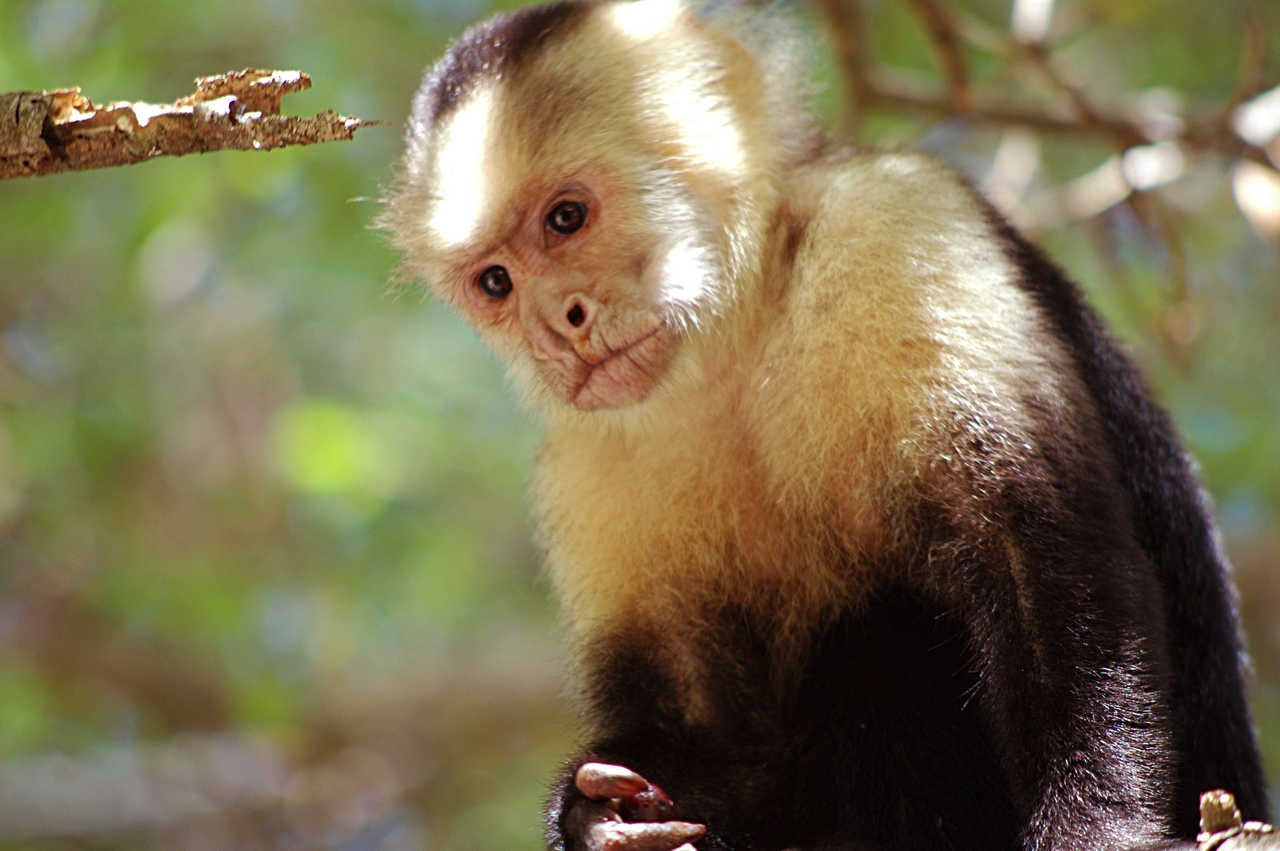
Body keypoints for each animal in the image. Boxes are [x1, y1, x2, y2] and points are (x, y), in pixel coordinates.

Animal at [378, 3, 1269, 844]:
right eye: (496, 281)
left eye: (567, 218)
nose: (557, 324)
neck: (735, 339)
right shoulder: (587, 459)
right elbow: (717, 732)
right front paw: (597, 816)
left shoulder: (893, 221)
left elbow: (1039, 555)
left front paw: (1097, 827)